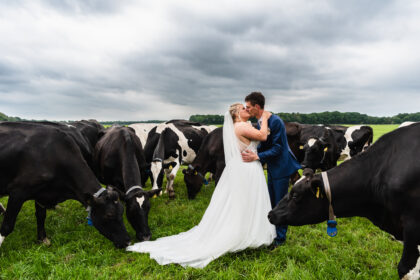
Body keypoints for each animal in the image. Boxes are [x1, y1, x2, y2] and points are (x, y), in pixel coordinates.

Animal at [0, 122, 130, 247]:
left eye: (122, 211)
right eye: (109, 215)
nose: (127, 241)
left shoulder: (41, 193)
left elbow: (41, 215)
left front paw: (42, 239)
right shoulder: (18, 191)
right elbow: (7, 226)